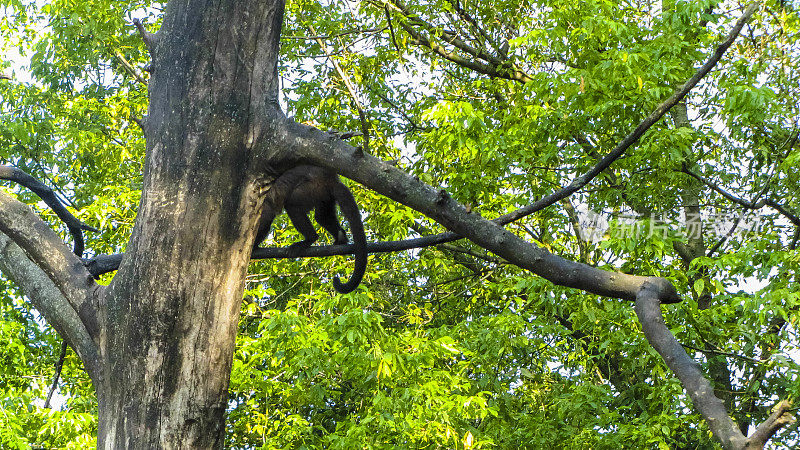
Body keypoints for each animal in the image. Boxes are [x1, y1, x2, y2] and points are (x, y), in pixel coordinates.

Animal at [255, 165, 368, 296]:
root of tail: (331, 177)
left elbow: (266, 217)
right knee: (322, 216)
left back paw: (309, 239)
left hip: (313, 187)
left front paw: (252, 247)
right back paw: (341, 238)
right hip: (324, 194)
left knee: (293, 204)